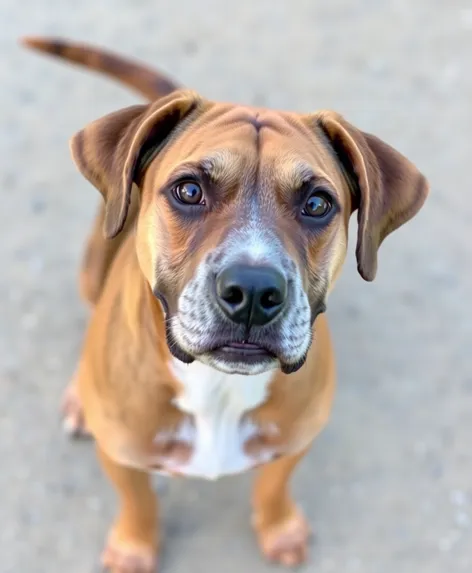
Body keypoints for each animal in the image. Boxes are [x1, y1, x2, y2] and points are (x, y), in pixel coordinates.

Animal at [21, 36, 428, 572]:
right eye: (189, 190)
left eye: (317, 203)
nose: (253, 292)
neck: (217, 386)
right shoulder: (123, 455)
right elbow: (138, 500)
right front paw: (134, 546)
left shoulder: (295, 439)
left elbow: (274, 487)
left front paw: (279, 528)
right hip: (91, 269)